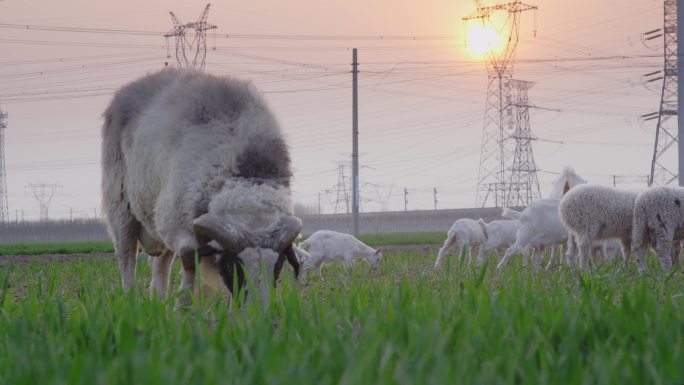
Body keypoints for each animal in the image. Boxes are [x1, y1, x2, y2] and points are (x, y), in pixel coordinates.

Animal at [101, 67, 302, 306]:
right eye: (231, 266)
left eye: (278, 265)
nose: (258, 311)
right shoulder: (177, 226)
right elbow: (190, 263)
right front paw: (184, 307)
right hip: (121, 207)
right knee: (127, 259)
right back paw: (130, 300)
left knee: (161, 266)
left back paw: (159, 302)